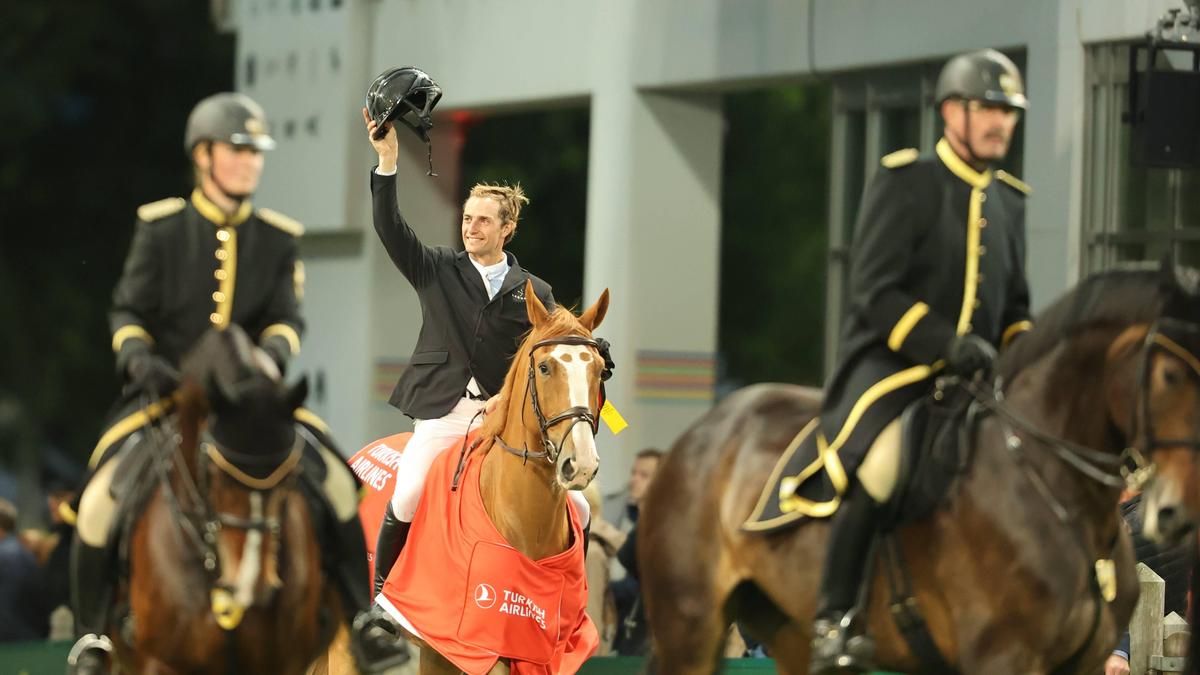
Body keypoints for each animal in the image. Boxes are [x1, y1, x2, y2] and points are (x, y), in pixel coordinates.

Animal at [638, 263, 1200, 672]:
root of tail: (706, 429)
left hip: (785, 631)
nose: (1176, 512)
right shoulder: (1002, 657)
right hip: (689, 626)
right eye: (1171, 374)